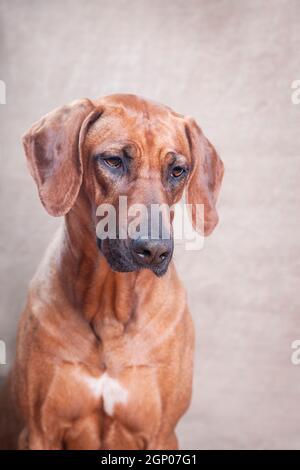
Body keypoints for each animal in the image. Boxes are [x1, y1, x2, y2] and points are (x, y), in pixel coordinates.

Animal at [0, 93, 224, 450]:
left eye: (178, 170)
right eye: (114, 161)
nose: (155, 250)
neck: (109, 311)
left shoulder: (162, 435)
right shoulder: (38, 432)